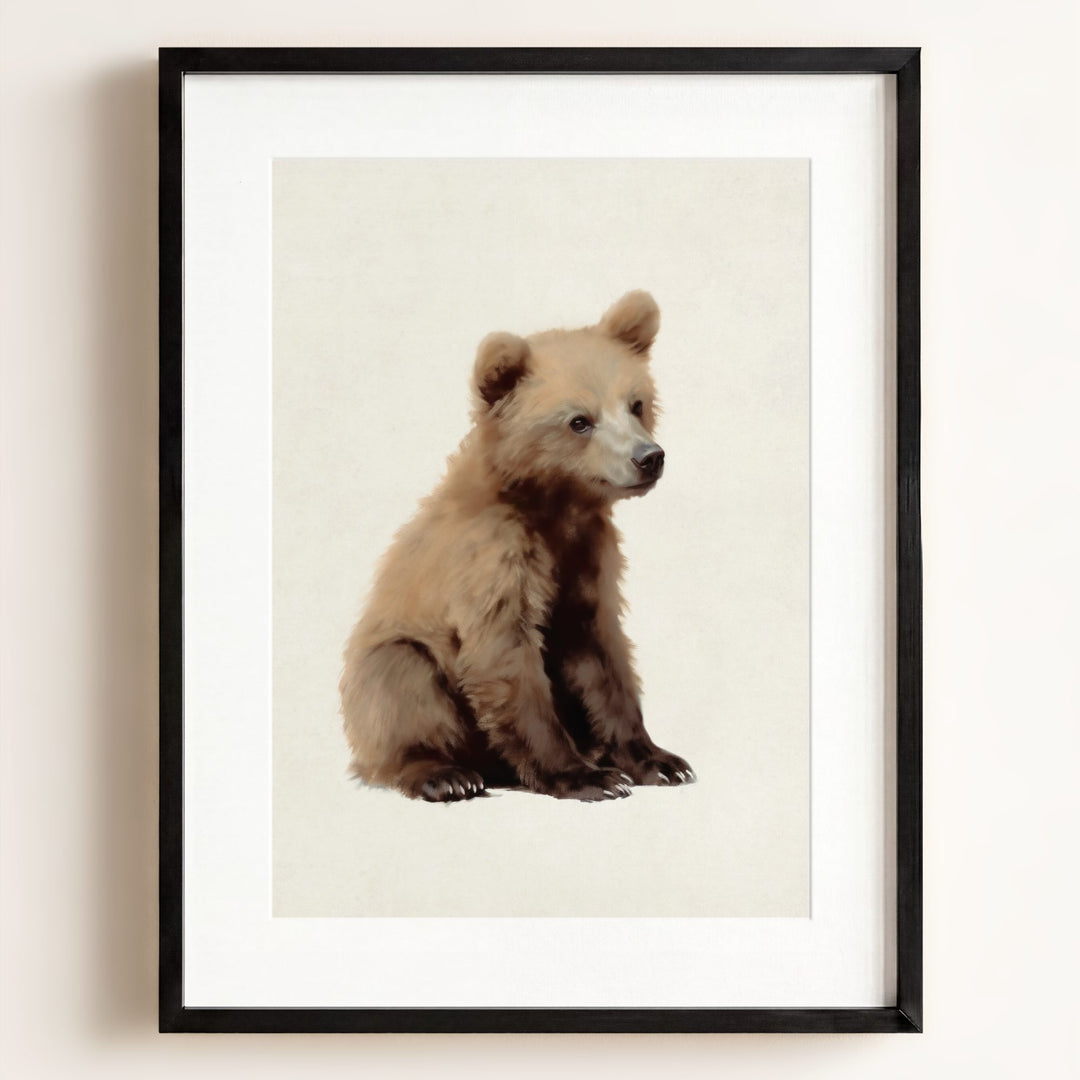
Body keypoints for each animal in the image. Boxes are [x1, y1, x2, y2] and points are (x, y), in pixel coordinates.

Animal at [339, 290, 694, 802]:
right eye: (579, 421)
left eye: (636, 404)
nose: (649, 457)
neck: (555, 507)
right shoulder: (490, 557)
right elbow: (505, 656)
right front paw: (586, 776)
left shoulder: (586, 559)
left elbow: (602, 655)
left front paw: (658, 761)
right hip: (391, 663)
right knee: (400, 679)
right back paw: (445, 773)